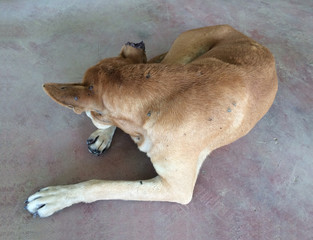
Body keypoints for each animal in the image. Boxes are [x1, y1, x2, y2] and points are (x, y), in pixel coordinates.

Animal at [25, 24, 276, 218]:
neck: (158, 103)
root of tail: (243, 34)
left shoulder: (176, 189)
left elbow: (102, 185)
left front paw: (58, 197)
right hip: (181, 56)